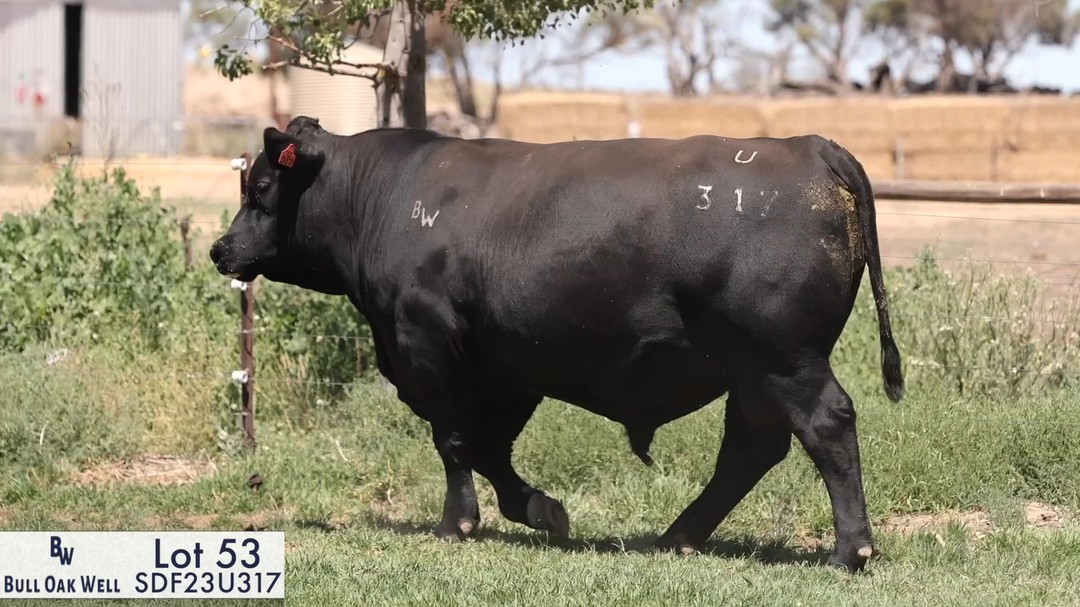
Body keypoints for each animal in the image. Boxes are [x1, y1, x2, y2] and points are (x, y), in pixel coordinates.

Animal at [210, 115, 904, 573]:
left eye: (262, 190)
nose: (221, 248)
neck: (384, 197)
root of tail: (811, 147)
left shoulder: (427, 344)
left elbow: (454, 440)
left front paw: (457, 524)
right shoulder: (508, 363)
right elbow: (490, 446)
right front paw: (543, 511)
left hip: (782, 358)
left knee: (826, 425)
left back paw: (850, 550)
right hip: (751, 370)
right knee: (751, 447)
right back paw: (678, 536)